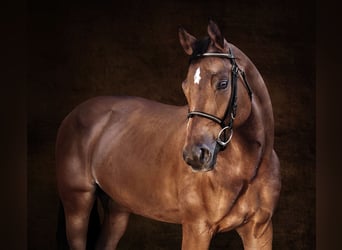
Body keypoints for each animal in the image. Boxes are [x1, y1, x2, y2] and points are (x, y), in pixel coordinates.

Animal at [56, 20, 280, 249]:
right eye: (185, 86)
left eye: (223, 83)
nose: (195, 155)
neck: (248, 168)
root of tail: (75, 113)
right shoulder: (197, 229)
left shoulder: (259, 231)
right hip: (77, 206)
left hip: (117, 210)